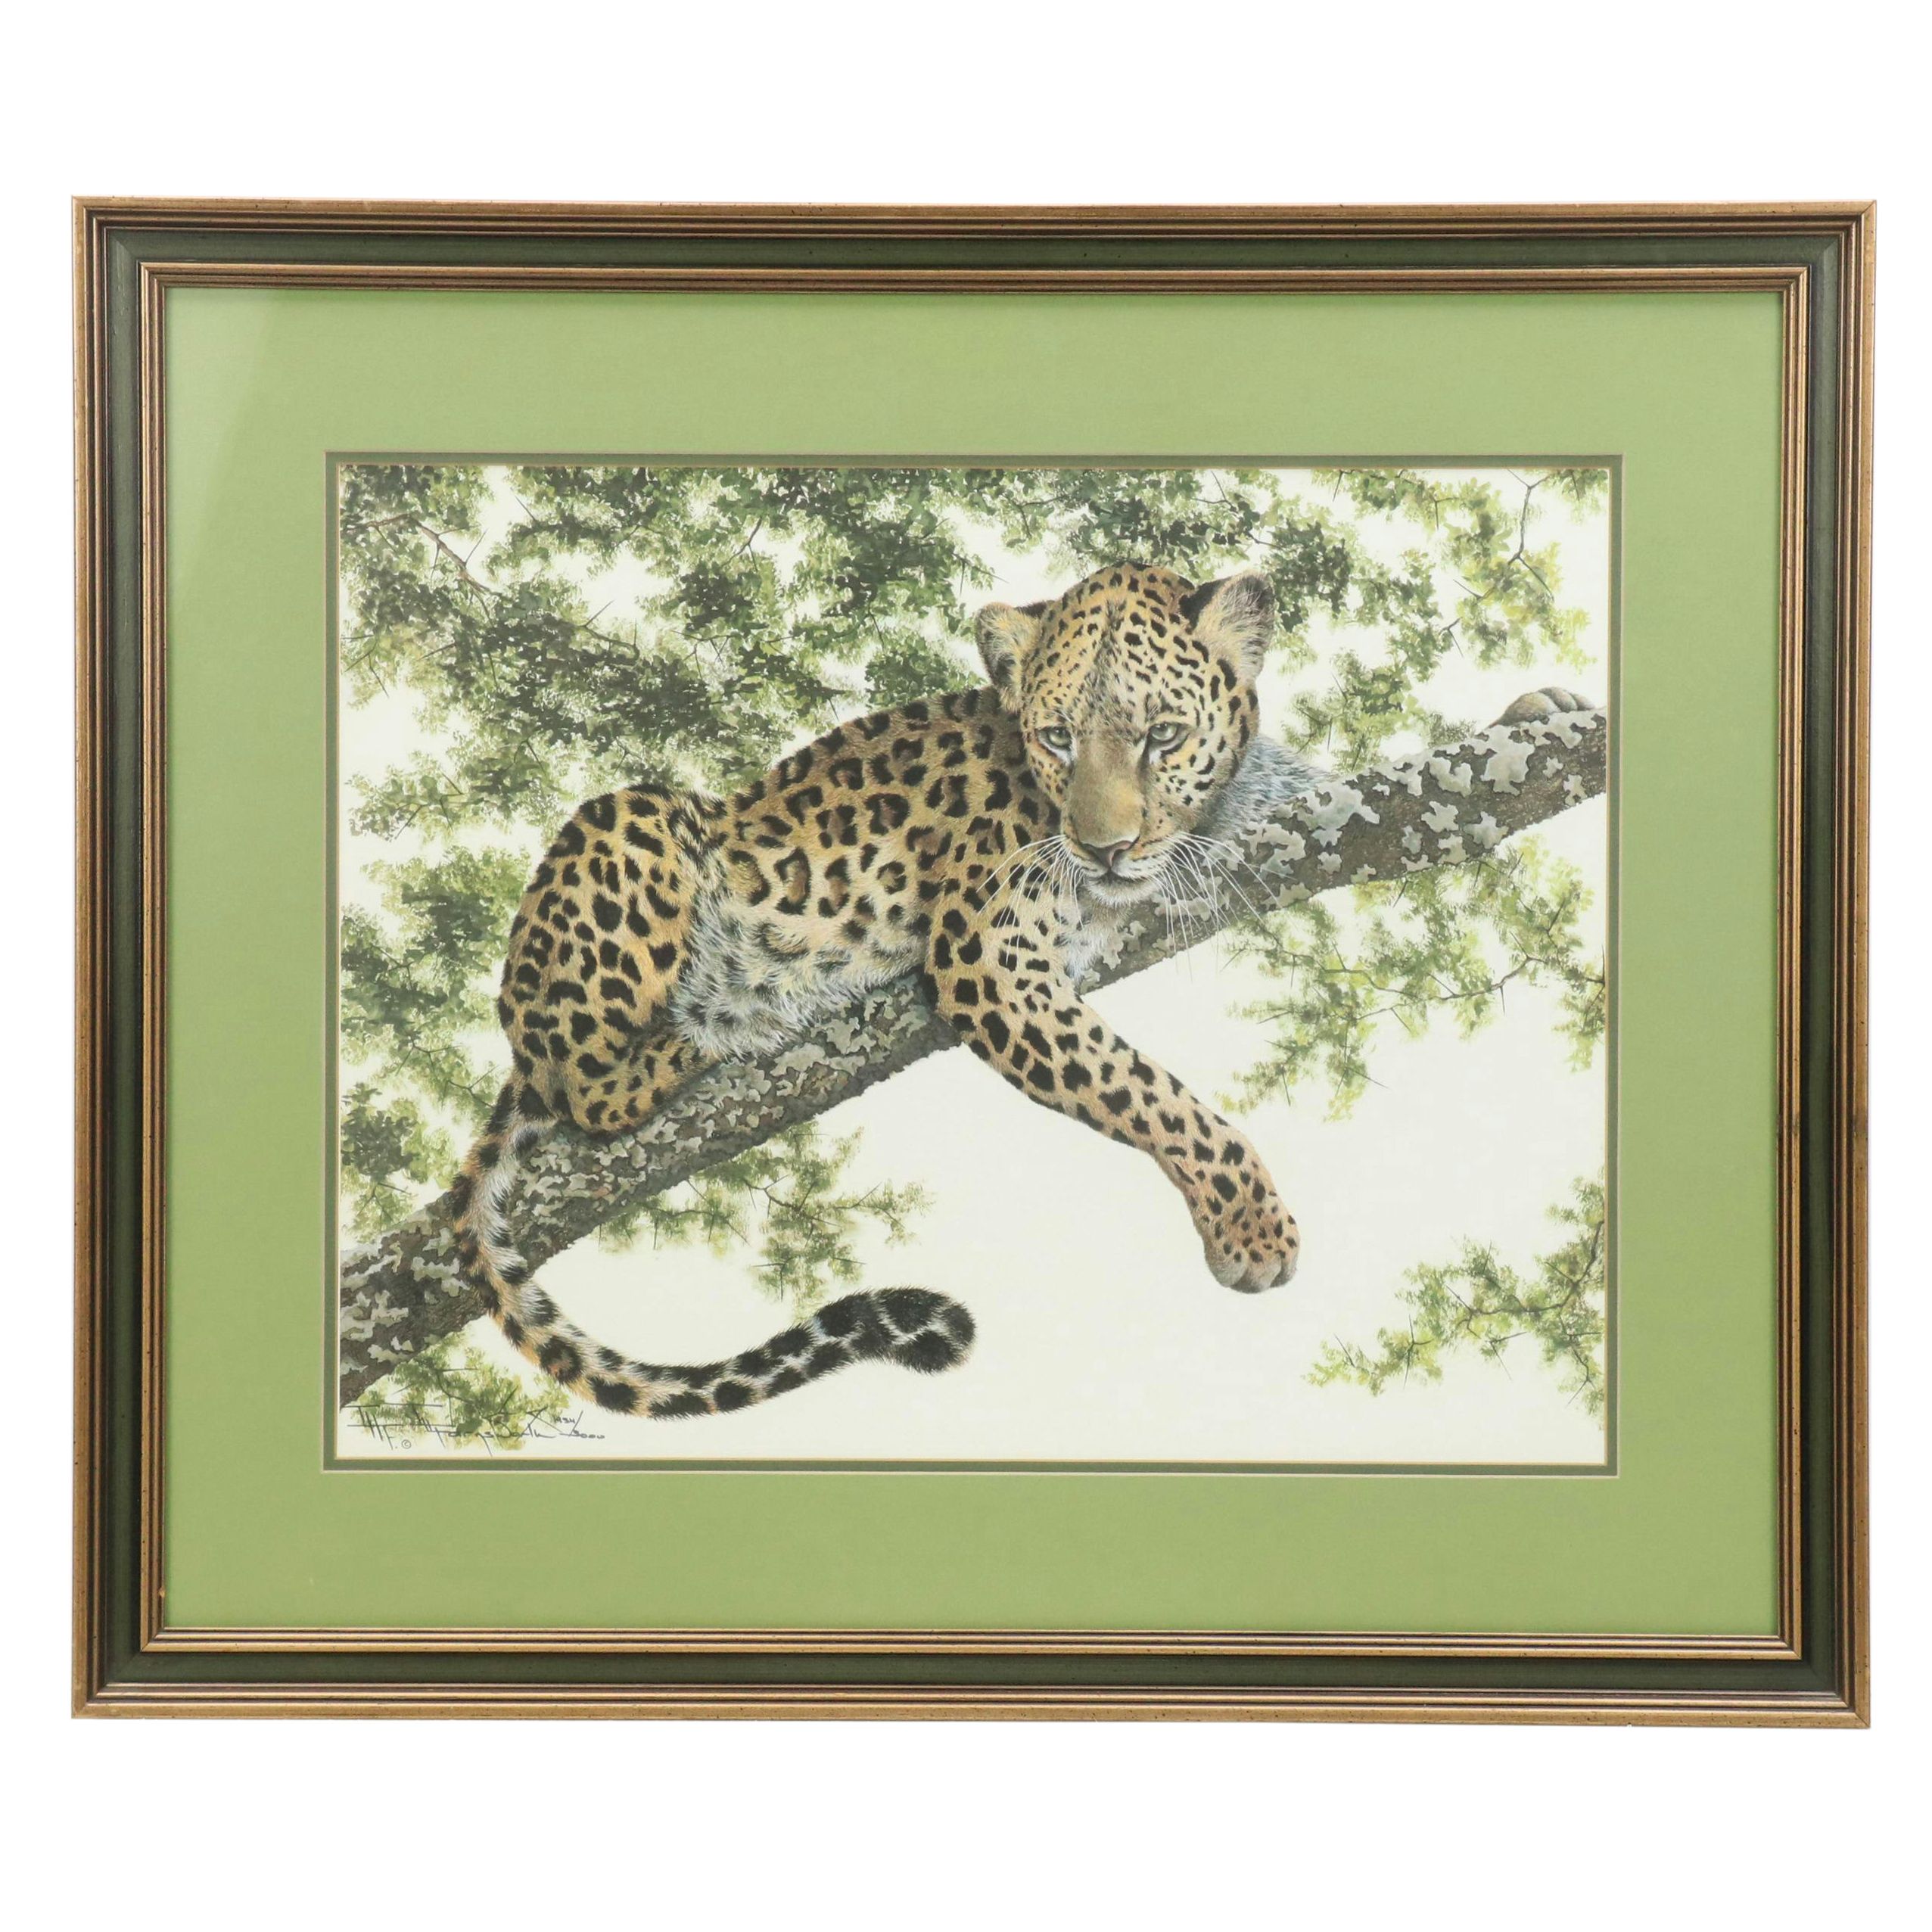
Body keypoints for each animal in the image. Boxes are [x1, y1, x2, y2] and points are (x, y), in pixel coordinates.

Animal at [447, 561, 1589, 1421]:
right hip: (630, 824)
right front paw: (1251, 1230)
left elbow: (1361, 781)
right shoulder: (987, 959)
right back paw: (717, 1029)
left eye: (1162, 736)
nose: (1104, 846)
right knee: (582, 1084)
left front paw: (1534, 708)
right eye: (1055, 738)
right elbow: (1152, 1093)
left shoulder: (1279, 803)